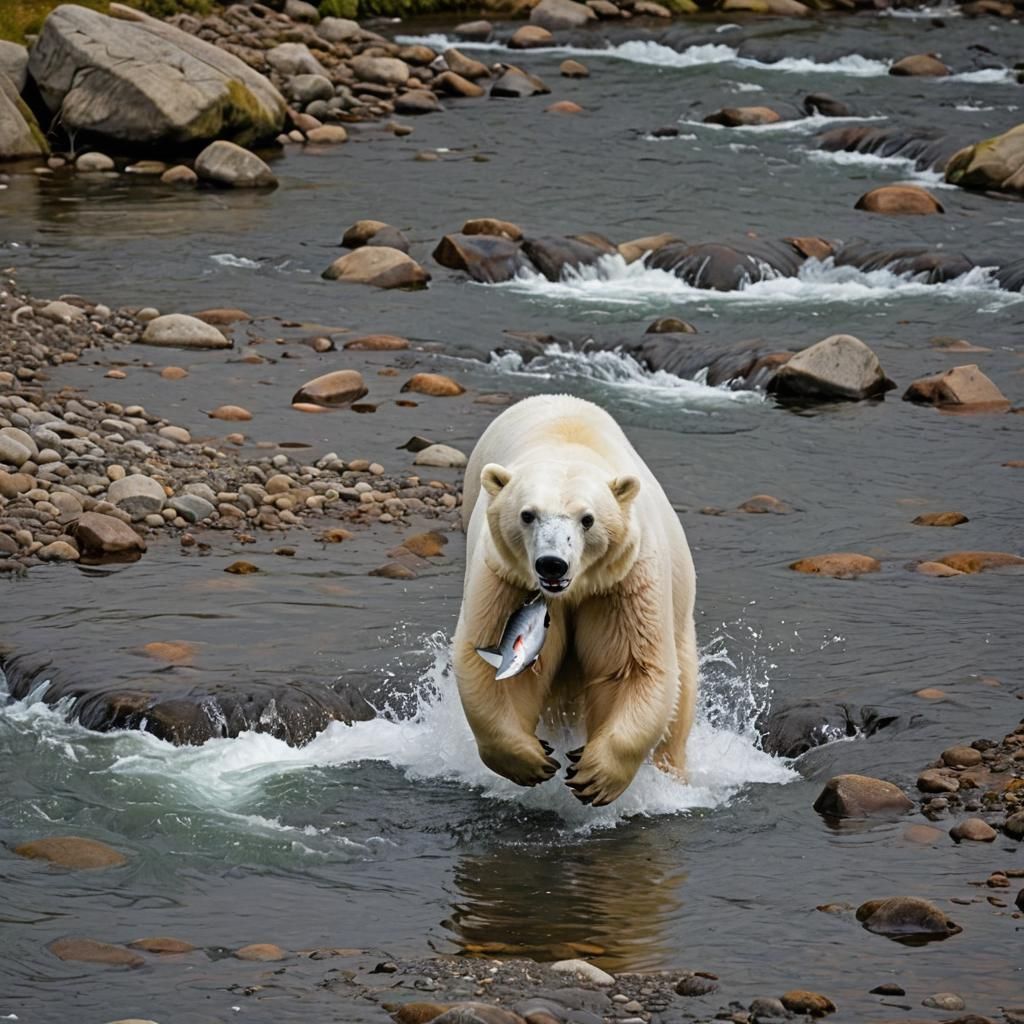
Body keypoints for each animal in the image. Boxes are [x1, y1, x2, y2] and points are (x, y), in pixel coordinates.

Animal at [453, 393, 699, 806]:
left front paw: (594, 774)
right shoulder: (507, 577)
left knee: (680, 693)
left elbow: (631, 666)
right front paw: (533, 760)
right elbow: (497, 666)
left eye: (588, 519)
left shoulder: (620, 582)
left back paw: (673, 776)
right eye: (527, 515)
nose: (552, 564)